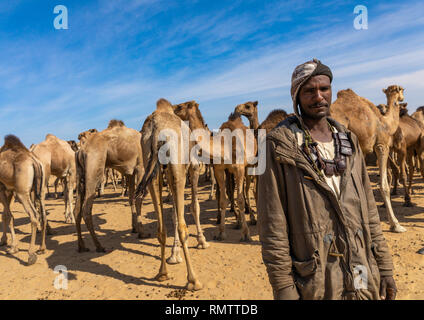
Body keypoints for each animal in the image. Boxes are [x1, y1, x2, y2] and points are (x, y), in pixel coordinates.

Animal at [0, 135, 46, 264]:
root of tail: (34, 161)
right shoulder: (9, 190)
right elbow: (6, 215)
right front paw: (4, 241)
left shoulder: (3, 189)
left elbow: (8, 216)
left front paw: (13, 248)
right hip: (40, 189)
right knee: (43, 215)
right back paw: (42, 248)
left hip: (22, 193)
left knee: (34, 215)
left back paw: (31, 255)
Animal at [73, 120, 145, 252]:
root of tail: (81, 151)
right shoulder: (140, 167)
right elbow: (138, 199)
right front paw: (142, 233)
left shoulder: (130, 173)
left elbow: (131, 198)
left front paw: (135, 228)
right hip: (94, 170)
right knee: (86, 210)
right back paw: (99, 246)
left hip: (80, 175)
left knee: (77, 210)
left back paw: (82, 246)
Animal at [135, 99, 203, 292]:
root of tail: (156, 130)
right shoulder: (193, 167)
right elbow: (194, 206)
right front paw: (202, 241)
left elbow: (172, 214)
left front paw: (174, 255)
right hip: (177, 168)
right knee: (183, 227)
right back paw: (194, 280)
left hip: (151, 167)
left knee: (161, 228)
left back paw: (162, 273)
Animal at [330, 85, 406, 232]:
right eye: (401, 90)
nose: (402, 98)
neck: (386, 123)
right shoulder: (381, 145)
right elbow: (383, 185)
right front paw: (396, 224)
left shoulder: (363, 151)